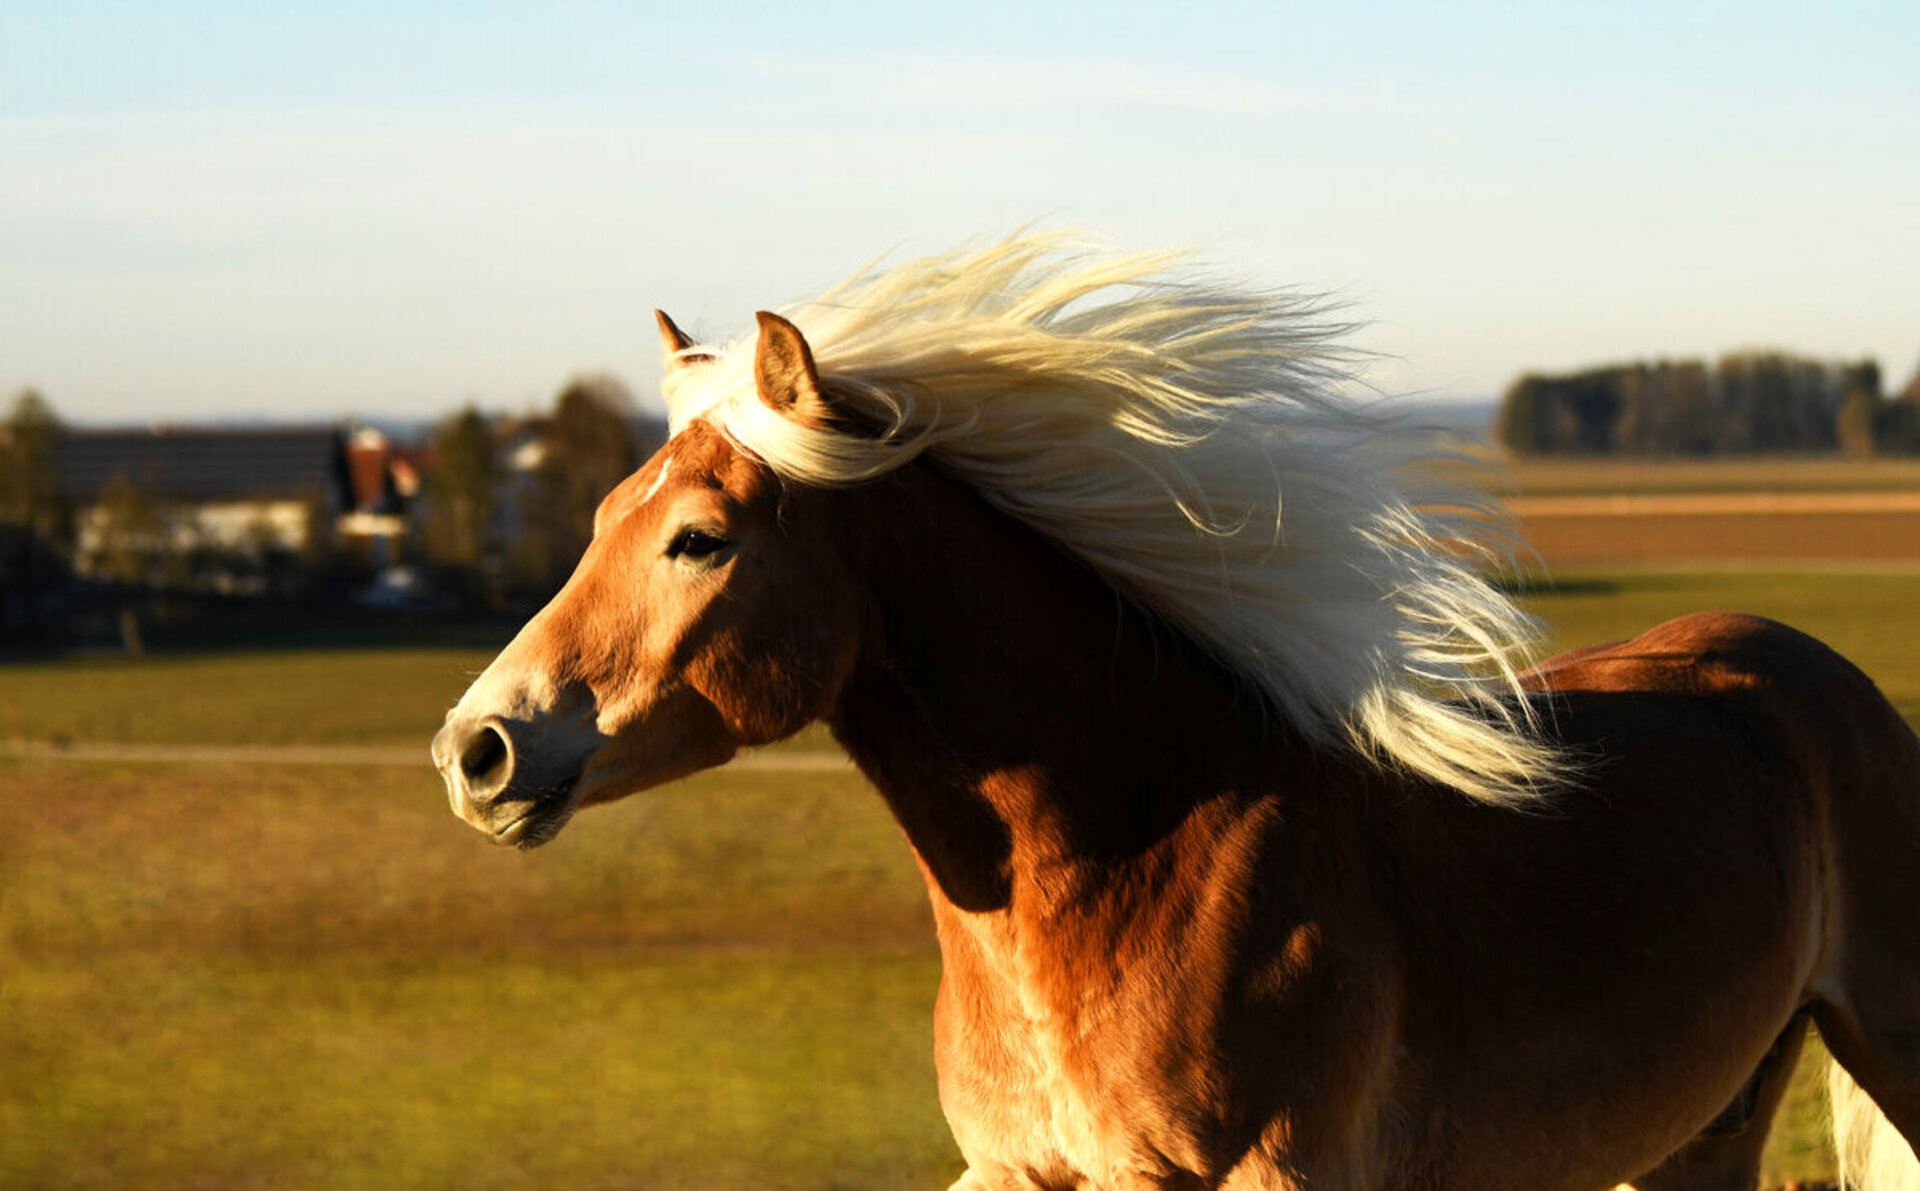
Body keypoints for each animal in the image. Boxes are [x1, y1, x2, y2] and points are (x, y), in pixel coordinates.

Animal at [435, 237, 1920, 1183]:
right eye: (598, 516)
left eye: (698, 538)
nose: (477, 749)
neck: (1132, 859)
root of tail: (1820, 681)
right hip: (1705, 1116)